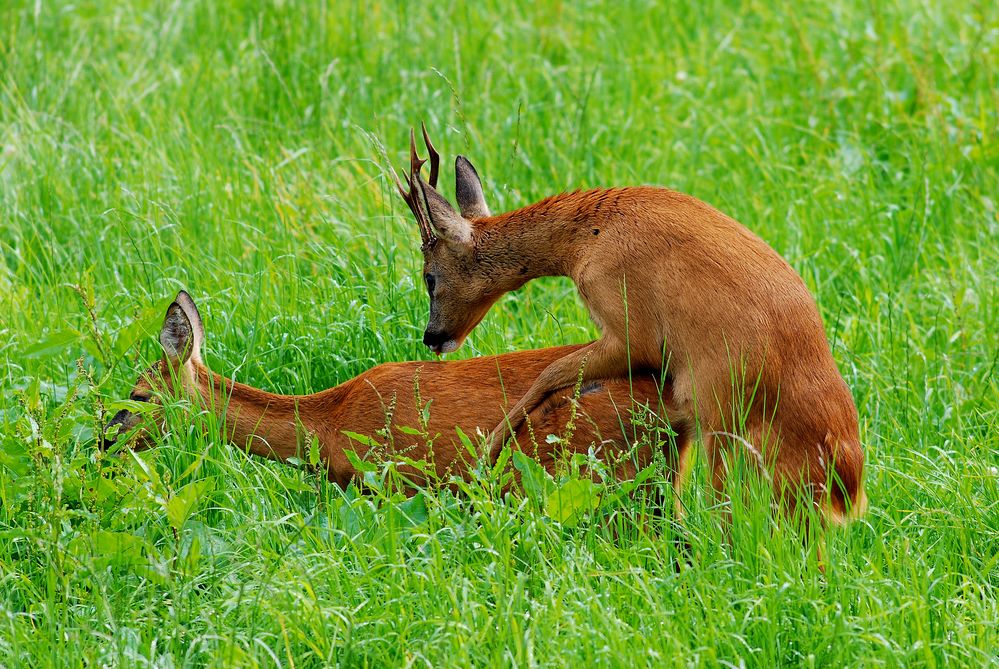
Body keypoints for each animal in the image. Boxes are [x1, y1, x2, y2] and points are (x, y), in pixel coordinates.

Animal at [394, 125, 864, 520]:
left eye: (429, 277)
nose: (432, 337)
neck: (585, 238)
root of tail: (846, 476)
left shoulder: (630, 326)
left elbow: (552, 372)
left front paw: (486, 455)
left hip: (723, 415)